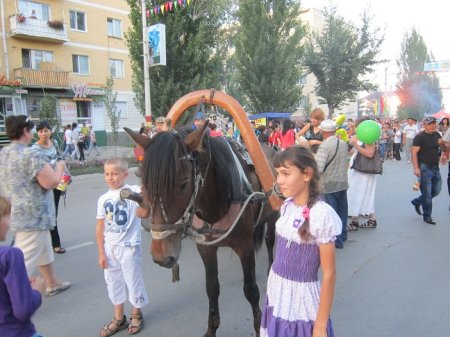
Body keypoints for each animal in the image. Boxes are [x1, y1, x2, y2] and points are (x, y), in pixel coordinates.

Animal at [123, 122, 278, 336]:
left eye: (184, 183)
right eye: (145, 184)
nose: (162, 256)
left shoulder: (244, 247)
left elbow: (251, 290)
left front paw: (258, 327)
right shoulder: (205, 247)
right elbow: (212, 288)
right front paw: (212, 328)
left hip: (274, 215)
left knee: (271, 240)